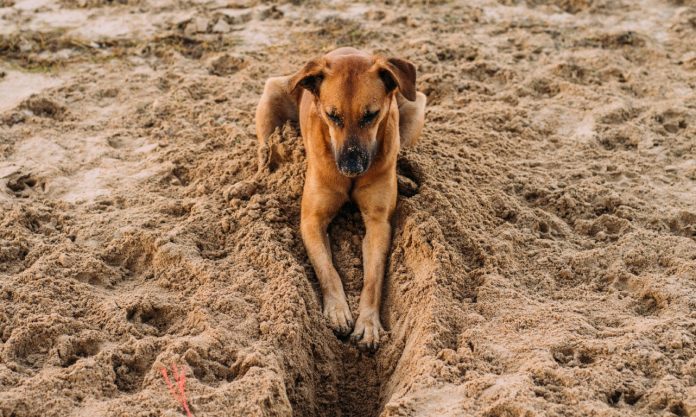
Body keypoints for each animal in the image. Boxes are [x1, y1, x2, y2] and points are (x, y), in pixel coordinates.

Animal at [256, 47, 424, 350]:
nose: (351, 167)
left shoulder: (378, 224)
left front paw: (367, 323)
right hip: (272, 94)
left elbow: (373, 278)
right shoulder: (312, 220)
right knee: (265, 151)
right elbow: (327, 269)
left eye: (371, 115)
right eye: (332, 116)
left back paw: (404, 179)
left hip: (416, 105)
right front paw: (337, 310)